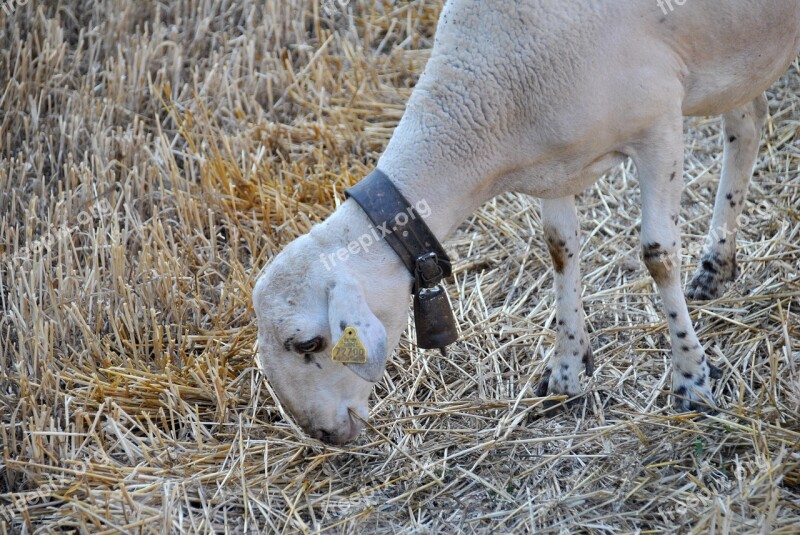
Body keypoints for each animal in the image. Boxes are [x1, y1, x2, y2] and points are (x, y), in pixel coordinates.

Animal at [252, 0, 800, 444]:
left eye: (308, 343)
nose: (320, 434)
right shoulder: (555, 165)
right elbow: (559, 249)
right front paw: (566, 374)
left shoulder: (660, 126)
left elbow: (658, 257)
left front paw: (691, 381)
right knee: (749, 122)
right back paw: (716, 266)